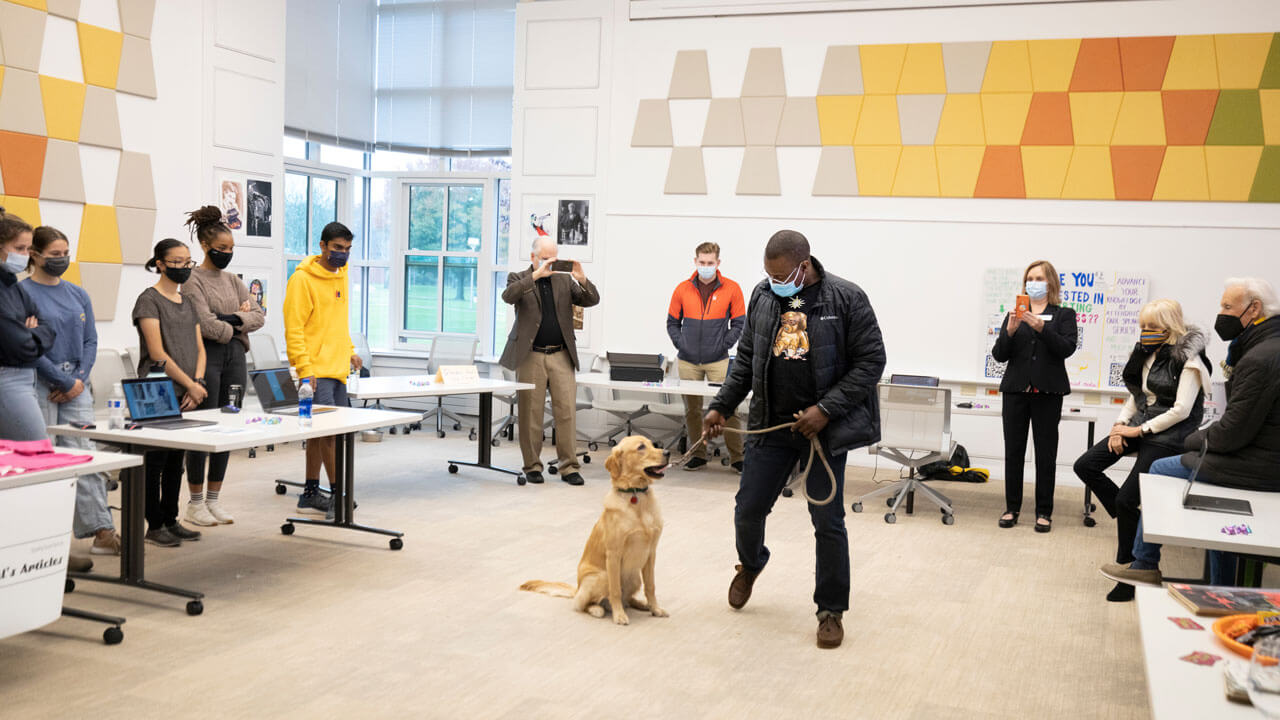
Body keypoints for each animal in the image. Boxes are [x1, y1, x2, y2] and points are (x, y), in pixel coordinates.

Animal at [519, 435, 670, 620]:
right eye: (641, 447)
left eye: (653, 444)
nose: (668, 452)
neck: (636, 496)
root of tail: (577, 588)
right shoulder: (613, 555)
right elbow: (615, 591)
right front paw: (619, 616)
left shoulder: (651, 553)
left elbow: (651, 587)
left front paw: (655, 609)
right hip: (602, 576)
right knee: (583, 603)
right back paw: (597, 609)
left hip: (634, 576)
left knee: (627, 599)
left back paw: (641, 604)